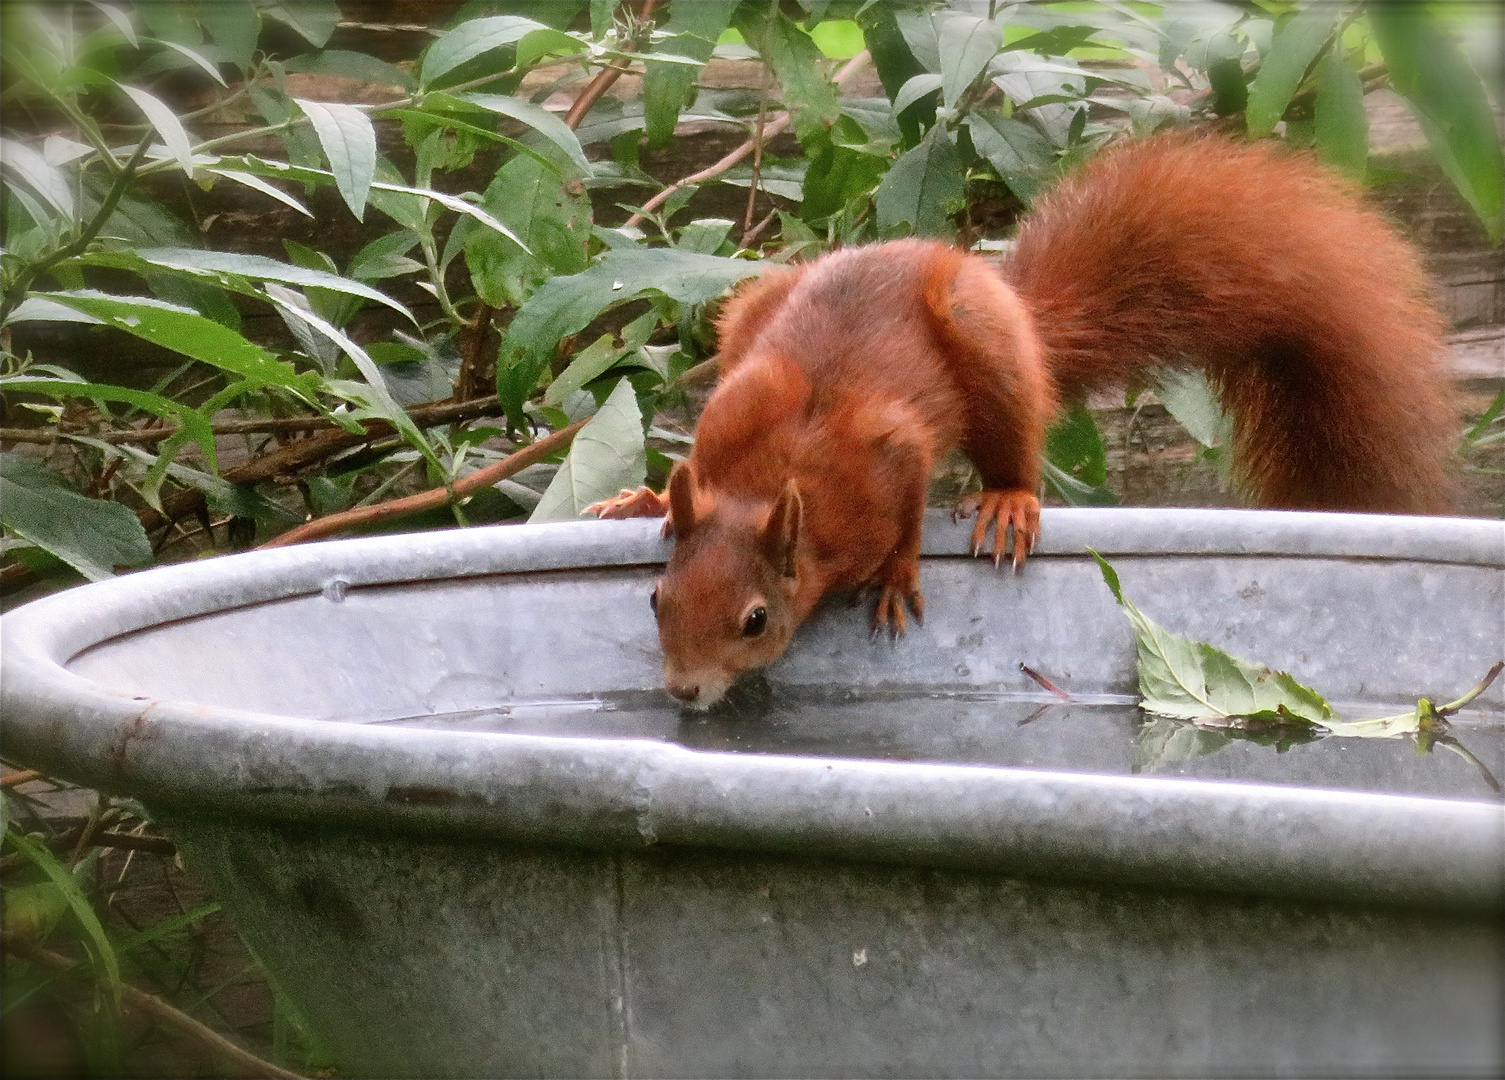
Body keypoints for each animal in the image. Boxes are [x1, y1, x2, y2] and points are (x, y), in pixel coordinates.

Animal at [586, 133, 1456, 709]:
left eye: (755, 621)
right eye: (656, 600)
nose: (683, 691)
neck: (772, 480)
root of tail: (1015, 308)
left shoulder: (887, 452)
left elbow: (905, 503)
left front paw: (897, 574)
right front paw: (651, 498)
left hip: (987, 348)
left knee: (1014, 447)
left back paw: (1009, 501)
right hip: (750, 313)